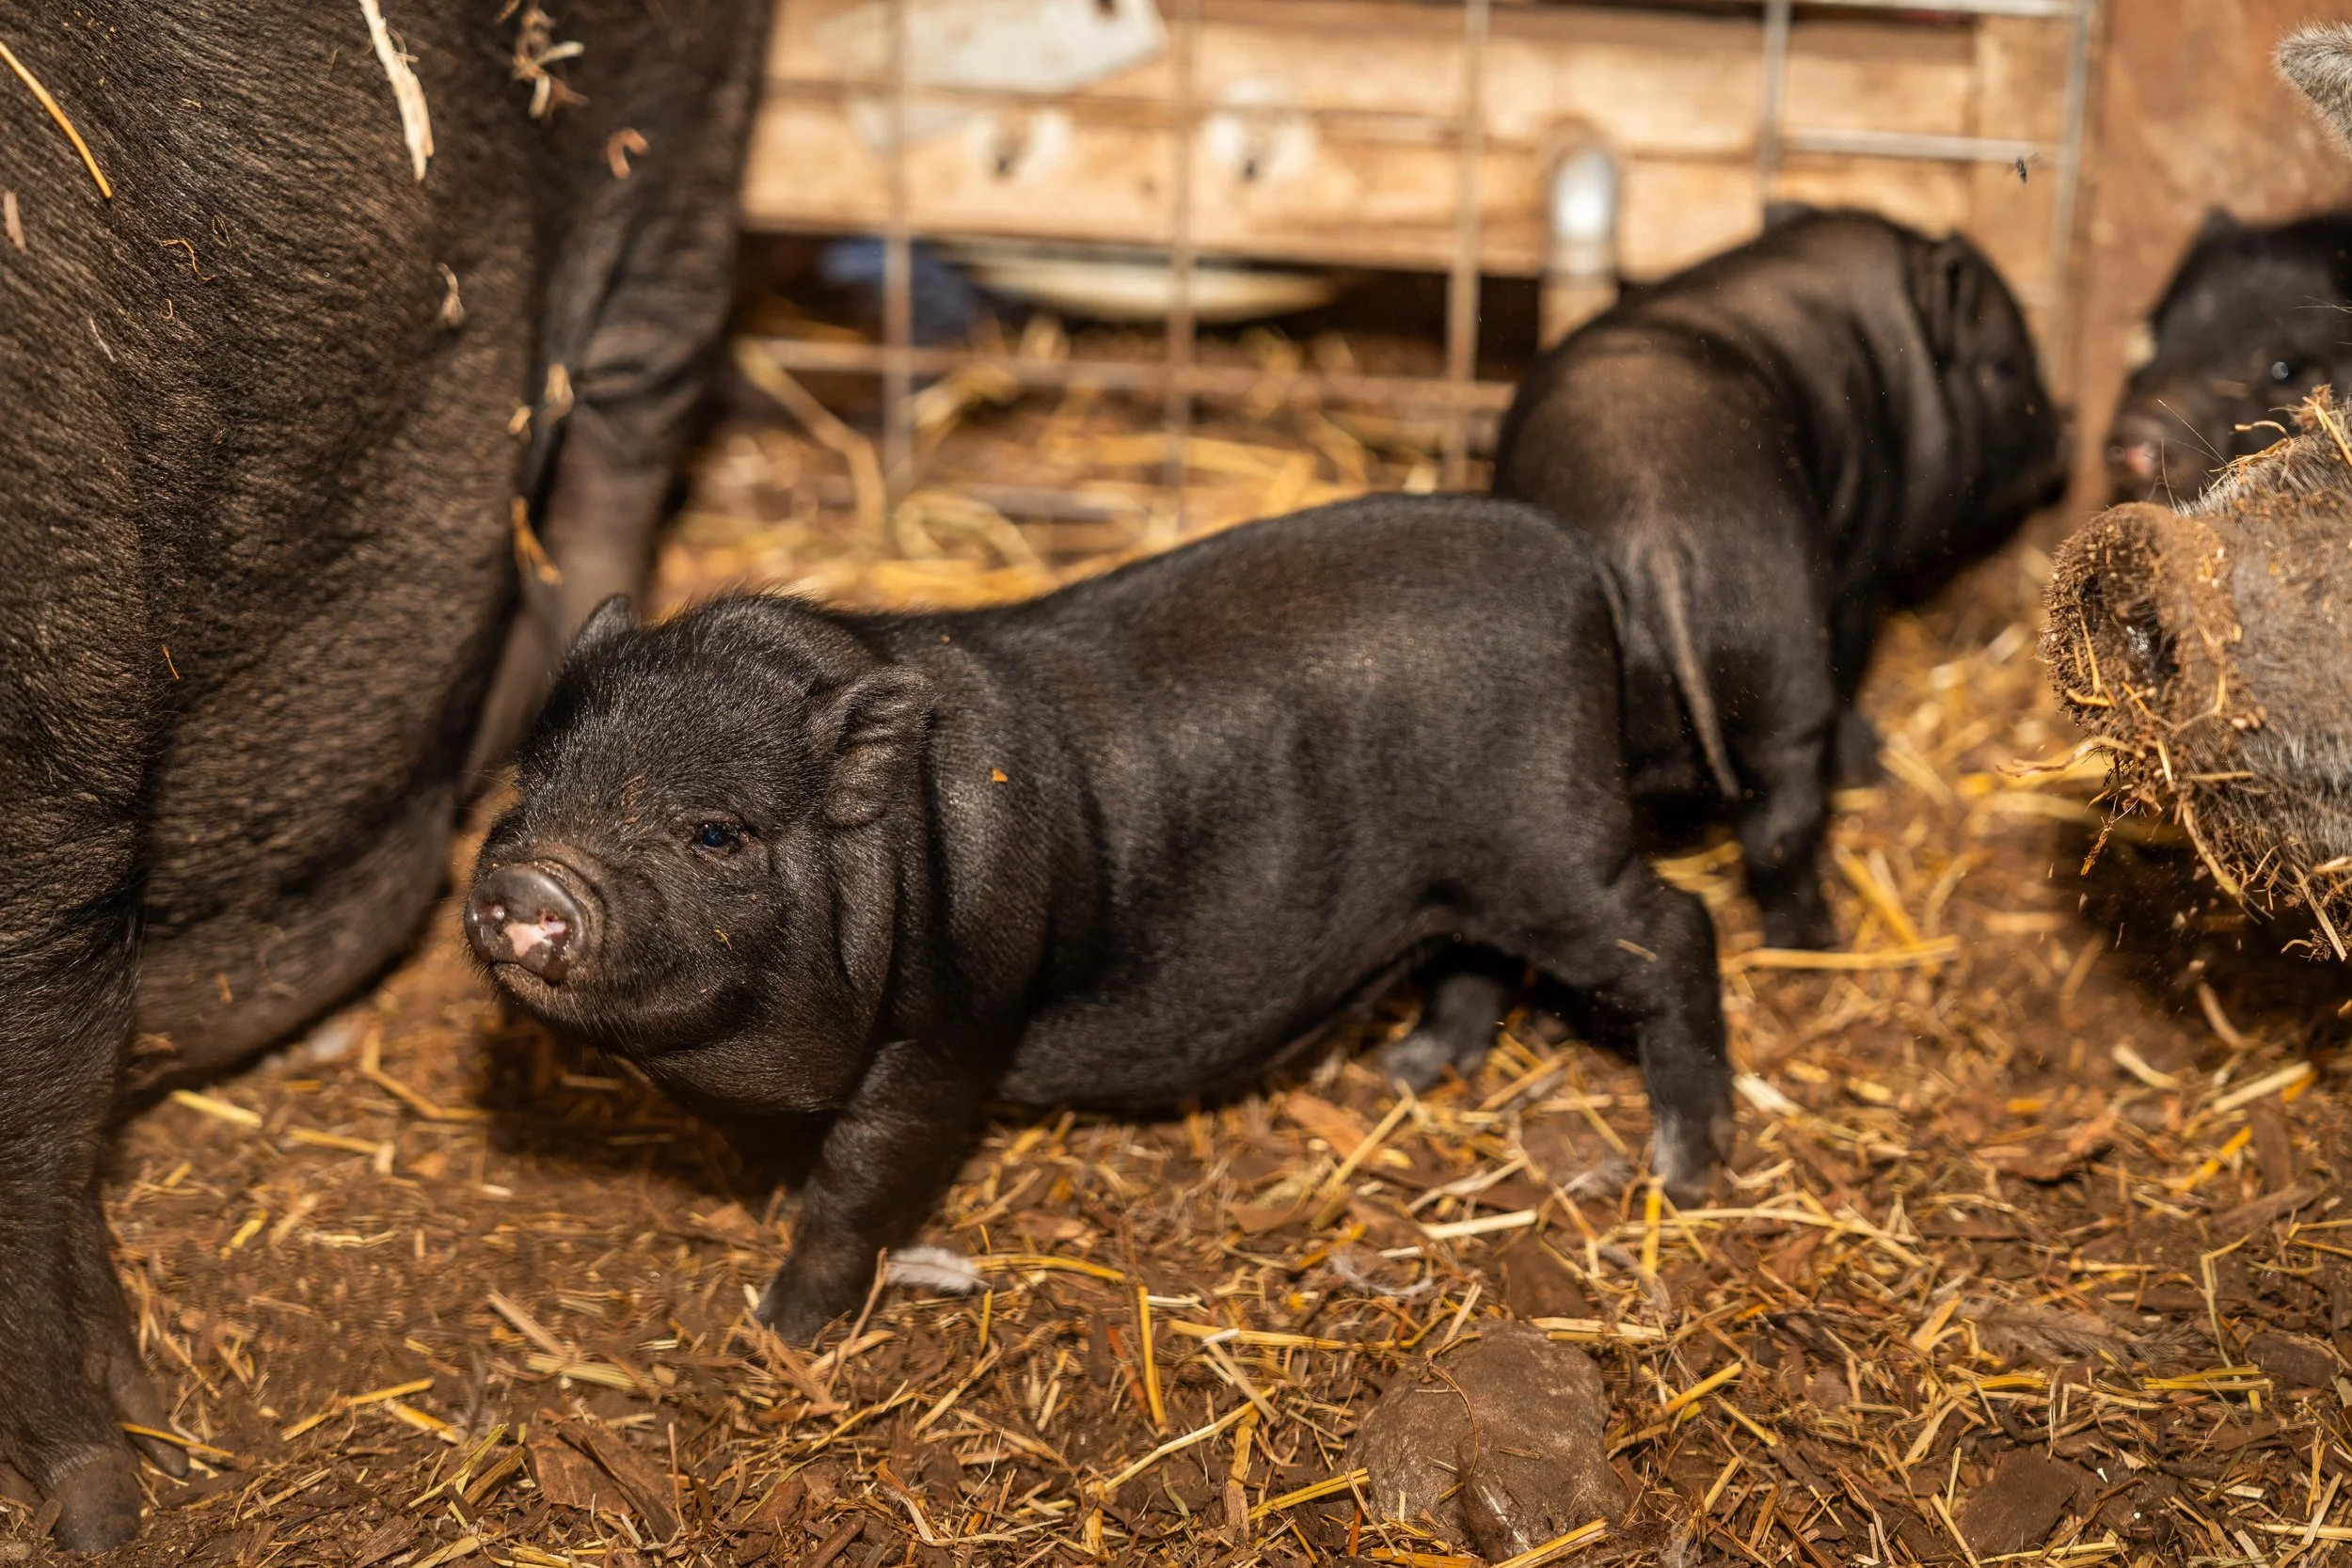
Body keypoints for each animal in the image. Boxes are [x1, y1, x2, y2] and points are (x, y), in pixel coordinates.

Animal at [464, 494, 1733, 1339]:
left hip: (1553, 841)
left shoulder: (947, 1035)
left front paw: (778, 1328)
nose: (527, 882)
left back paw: (1686, 1168)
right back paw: (1410, 1072)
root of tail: (1580, 572)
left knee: (1677, 926)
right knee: (1477, 959)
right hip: (1470, 879)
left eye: (714, 831)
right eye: (526, 782)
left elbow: (860, 1185)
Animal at [1489, 208, 2069, 953]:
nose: (2065, 438)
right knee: (1783, 821)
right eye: (2006, 366)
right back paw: (1818, 934)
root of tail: (1656, 542)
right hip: (1782, 654)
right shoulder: (1859, 566)